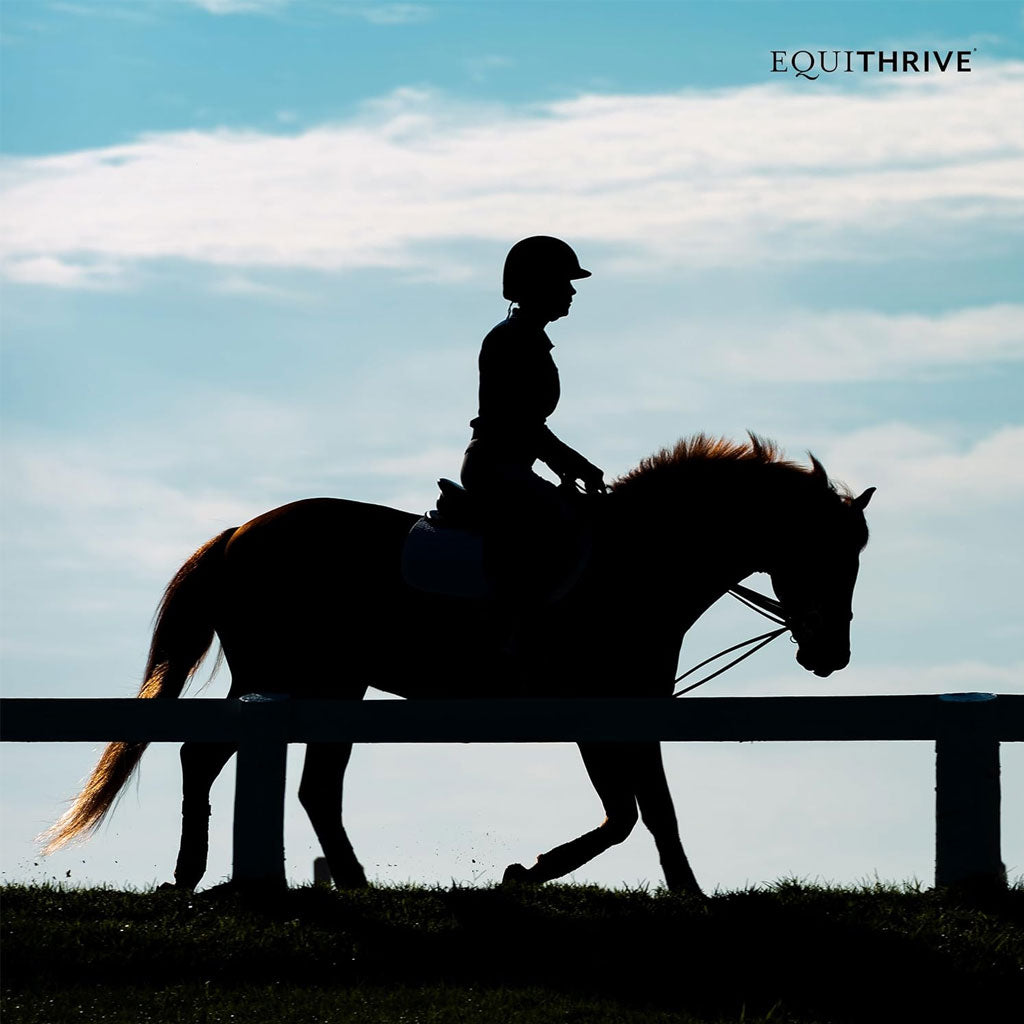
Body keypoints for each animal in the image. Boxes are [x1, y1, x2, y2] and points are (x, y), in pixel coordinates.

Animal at [42, 434, 873, 895]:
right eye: (825, 553)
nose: (829, 655)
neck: (639, 562)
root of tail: (240, 533)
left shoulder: (623, 712)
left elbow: (643, 814)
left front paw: (666, 891)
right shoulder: (601, 712)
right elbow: (634, 815)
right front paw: (539, 875)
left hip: (325, 685)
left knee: (296, 783)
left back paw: (337, 880)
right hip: (288, 678)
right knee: (218, 757)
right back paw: (196, 873)